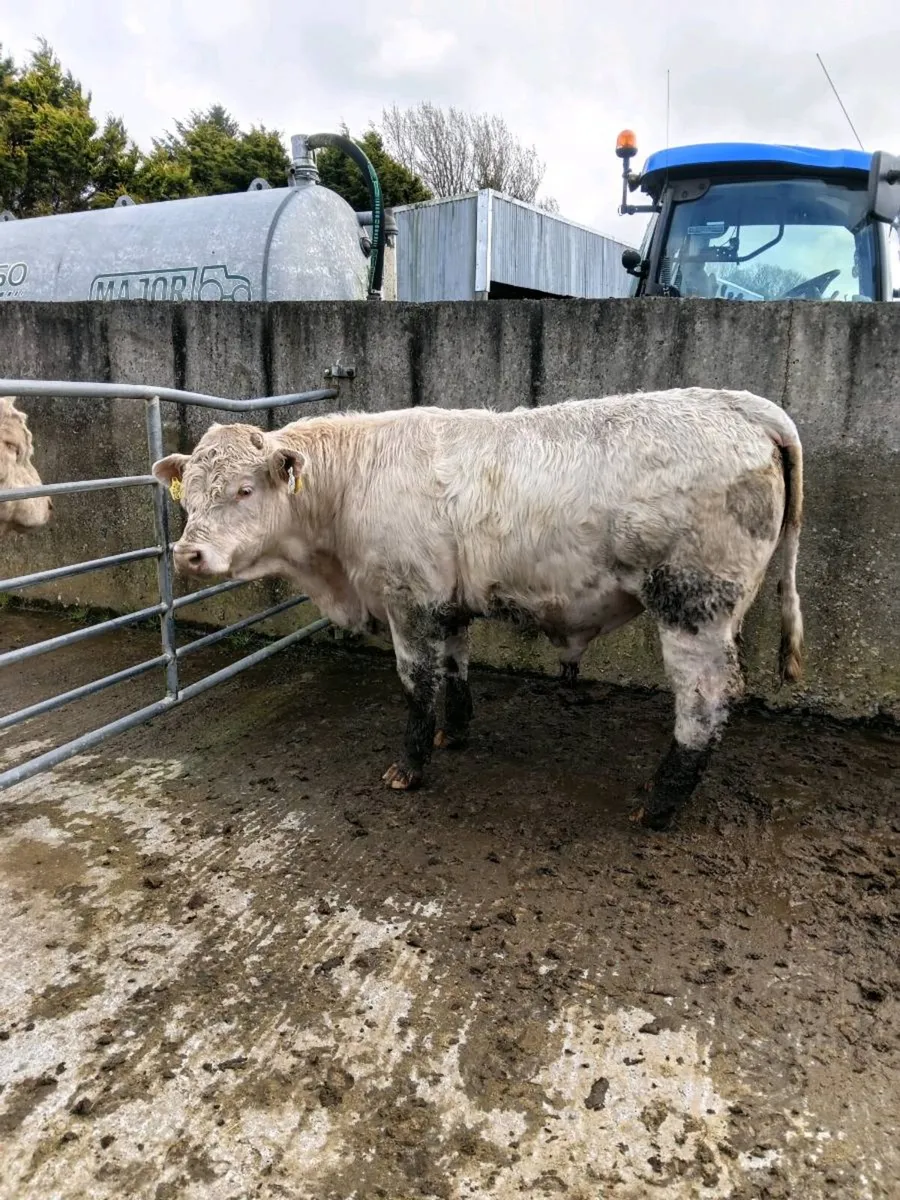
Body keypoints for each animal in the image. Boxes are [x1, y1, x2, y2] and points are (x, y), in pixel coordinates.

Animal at [152, 387, 803, 829]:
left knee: (705, 701)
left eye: (244, 490)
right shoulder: (447, 599)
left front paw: (410, 767)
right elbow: (455, 665)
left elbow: (417, 682)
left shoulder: (407, 598)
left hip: (693, 604)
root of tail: (741, 405)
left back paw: (659, 805)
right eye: (191, 497)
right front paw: (454, 732)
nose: (188, 553)